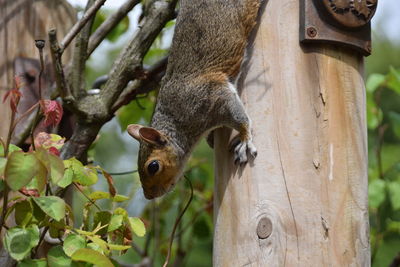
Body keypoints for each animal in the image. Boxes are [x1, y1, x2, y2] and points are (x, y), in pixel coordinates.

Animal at [126, 0, 260, 200]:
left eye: (153, 166)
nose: (149, 196)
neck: (176, 119)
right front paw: (212, 138)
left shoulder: (209, 96)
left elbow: (238, 116)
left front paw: (244, 139)